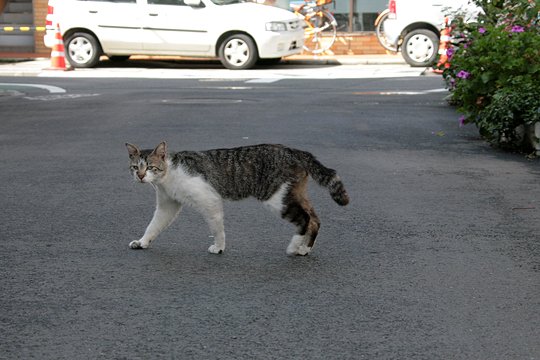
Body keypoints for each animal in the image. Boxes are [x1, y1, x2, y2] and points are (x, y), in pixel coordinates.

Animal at [124, 141, 348, 256]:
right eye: (135, 167)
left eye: (150, 167)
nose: (141, 176)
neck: (168, 175)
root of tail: (292, 150)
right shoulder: (167, 205)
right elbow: (153, 226)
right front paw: (142, 242)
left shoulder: (209, 199)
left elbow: (217, 228)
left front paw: (219, 247)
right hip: (294, 193)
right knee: (315, 219)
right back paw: (304, 248)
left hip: (276, 198)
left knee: (305, 219)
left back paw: (294, 247)